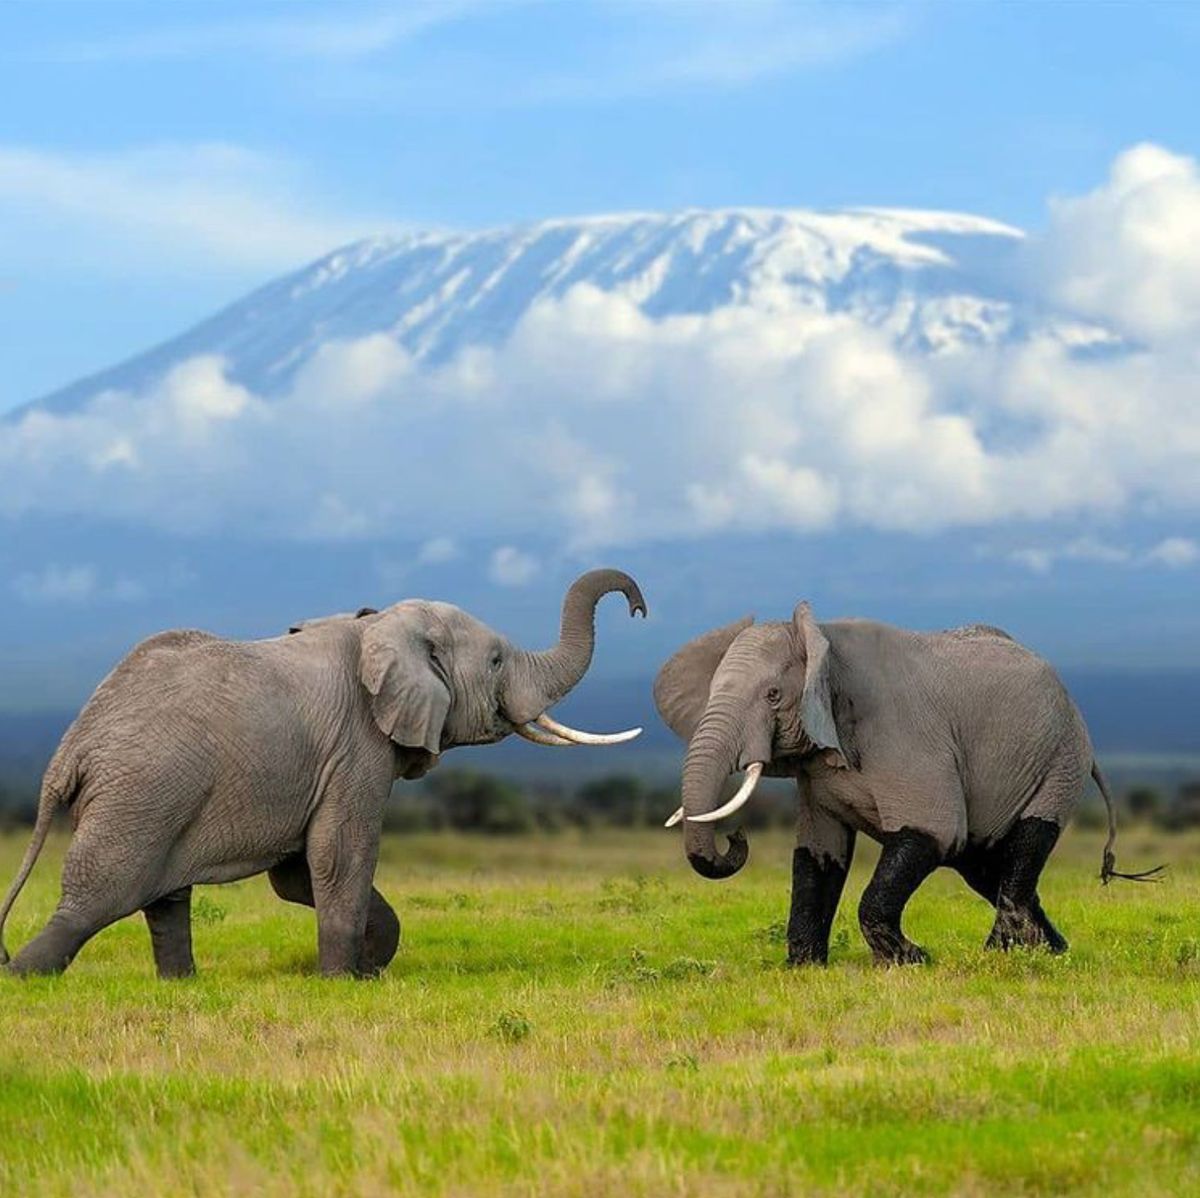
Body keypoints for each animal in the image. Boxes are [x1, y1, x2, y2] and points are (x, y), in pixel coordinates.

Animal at [0, 568, 646, 978]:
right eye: (494, 661)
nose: (638, 607)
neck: (379, 626)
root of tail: (71, 747)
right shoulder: (356, 747)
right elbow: (340, 852)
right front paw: (341, 980)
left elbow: (297, 874)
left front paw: (368, 966)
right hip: (141, 793)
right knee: (99, 896)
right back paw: (25, 977)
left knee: (164, 898)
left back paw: (181, 984)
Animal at [654, 605, 1159, 966]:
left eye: (773, 696)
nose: (736, 836)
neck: (822, 642)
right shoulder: (817, 772)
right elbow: (819, 853)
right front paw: (804, 967)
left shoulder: (906, 736)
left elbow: (933, 830)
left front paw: (912, 960)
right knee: (985, 865)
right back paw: (1052, 952)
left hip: (1060, 758)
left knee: (1023, 847)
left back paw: (1002, 956)